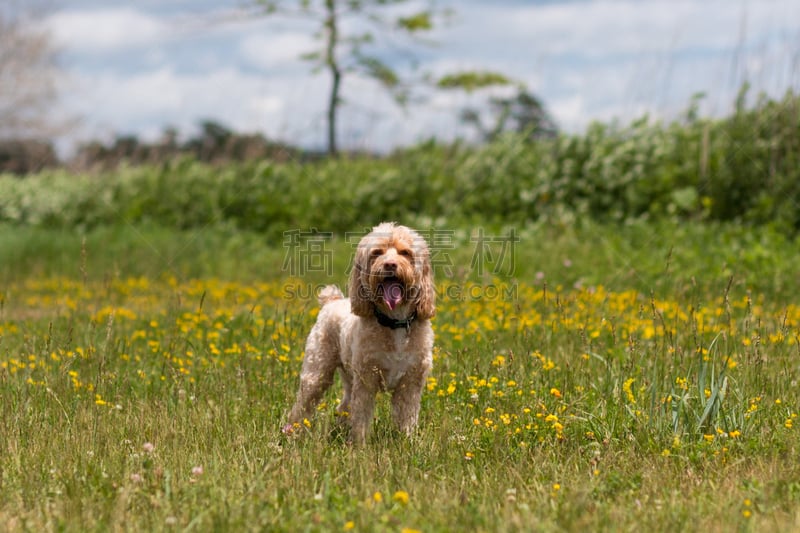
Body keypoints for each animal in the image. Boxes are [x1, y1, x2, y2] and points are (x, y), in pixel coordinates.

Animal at [282, 222, 434, 442]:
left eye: (405, 252)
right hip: (317, 371)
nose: (390, 265)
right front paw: (359, 445)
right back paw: (293, 432)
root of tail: (332, 301)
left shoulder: (410, 383)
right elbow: (361, 416)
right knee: (303, 404)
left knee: (344, 406)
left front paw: (407, 442)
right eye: (377, 252)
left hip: (348, 376)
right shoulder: (366, 380)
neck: (394, 322)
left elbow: (407, 418)